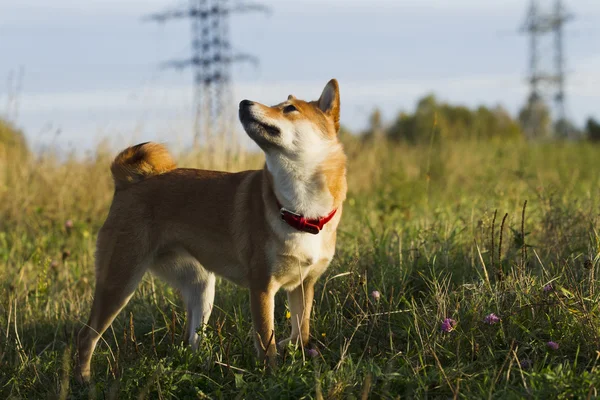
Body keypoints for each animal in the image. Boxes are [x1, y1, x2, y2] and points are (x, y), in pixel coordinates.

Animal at [76, 78, 346, 382]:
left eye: (289, 108)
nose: (244, 102)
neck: (299, 210)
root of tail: (126, 184)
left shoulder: (304, 284)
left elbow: (301, 333)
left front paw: (292, 349)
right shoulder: (262, 287)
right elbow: (267, 343)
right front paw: (272, 377)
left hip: (201, 286)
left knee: (191, 340)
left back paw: (204, 367)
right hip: (119, 283)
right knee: (86, 337)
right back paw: (84, 381)